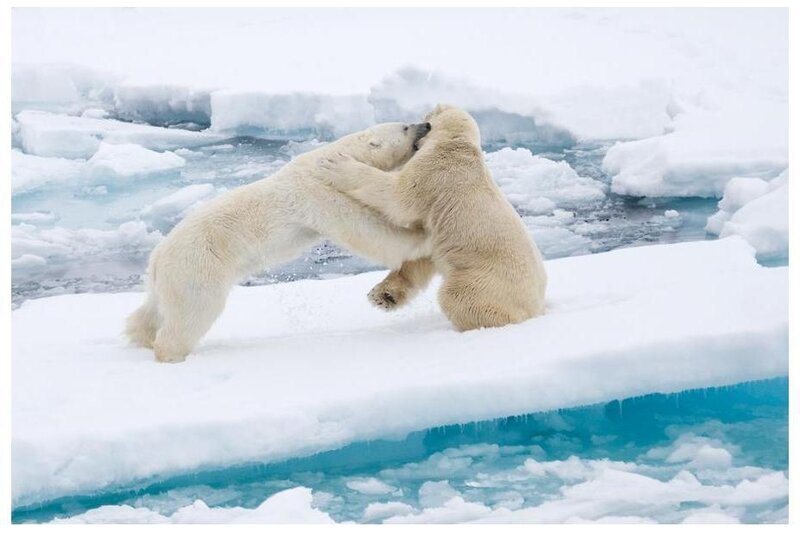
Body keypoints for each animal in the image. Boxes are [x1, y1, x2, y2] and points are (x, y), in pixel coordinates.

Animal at [126, 121, 432, 363]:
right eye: (406, 127)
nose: (426, 125)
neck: (329, 155)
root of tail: (158, 257)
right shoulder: (318, 192)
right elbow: (364, 229)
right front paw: (421, 237)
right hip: (198, 266)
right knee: (194, 311)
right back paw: (171, 353)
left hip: (169, 277)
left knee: (153, 310)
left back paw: (139, 336)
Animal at [318, 105, 547, 331]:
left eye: (425, 116)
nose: (424, 124)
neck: (456, 144)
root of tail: (536, 307)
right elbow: (420, 256)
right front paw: (383, 295)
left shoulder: (436, 172)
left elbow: (398, 195)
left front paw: (336, 164)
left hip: (486, 278)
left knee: (459, 297)